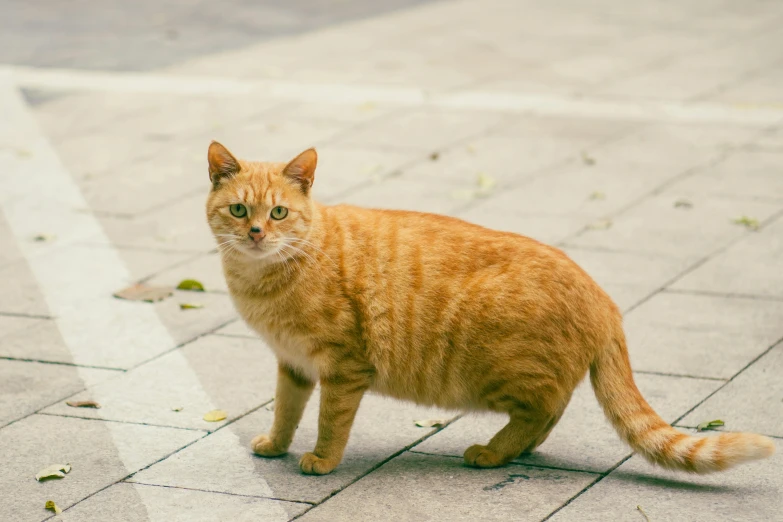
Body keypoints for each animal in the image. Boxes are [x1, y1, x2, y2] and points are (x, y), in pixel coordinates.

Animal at [208, 140, 776, 474]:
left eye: (279, 213)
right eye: (238, 210)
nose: (255, 233)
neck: (266, 278)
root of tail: (603, 296)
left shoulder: (344, 367)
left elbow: (330, 421)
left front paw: (322, 460)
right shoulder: (293, 364)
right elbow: (286, 410)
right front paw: (276, 444)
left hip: (504, 369)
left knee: (545, 411)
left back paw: (494, 452)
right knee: (549, 417)